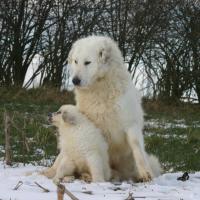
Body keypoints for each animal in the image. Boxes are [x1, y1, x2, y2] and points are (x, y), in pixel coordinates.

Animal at [68, 35, 161, 181]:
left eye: (87, 62)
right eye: (76, 61)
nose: (75, 81)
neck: (100, 88)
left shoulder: (131, 124)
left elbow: (136, 146)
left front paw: (145, 173)